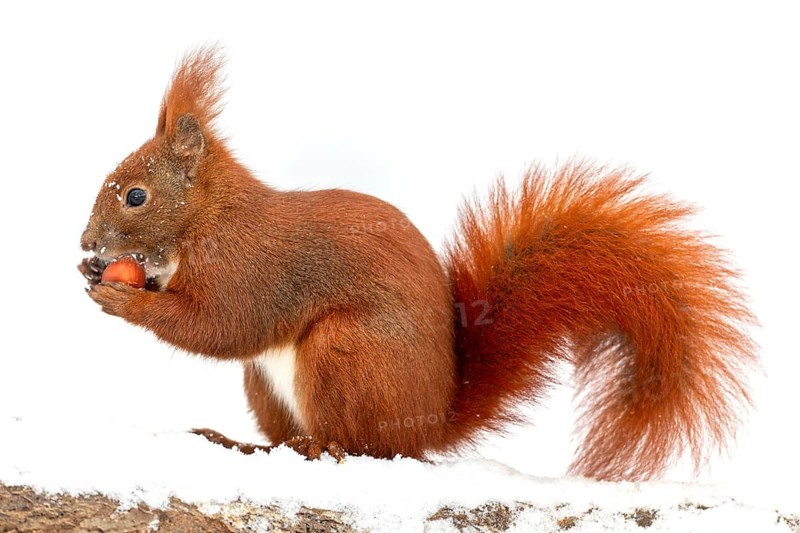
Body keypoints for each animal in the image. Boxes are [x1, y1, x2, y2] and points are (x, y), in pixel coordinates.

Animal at [79, 47, 756, 481]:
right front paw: (94, 276)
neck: (206, 222)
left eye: (135, 195)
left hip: (344, 354)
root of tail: (429, 425)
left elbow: (221, 325)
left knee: (362, 447)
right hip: (266, 385)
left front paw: (123, 298)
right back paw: (245, 444)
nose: (86, 243)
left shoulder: (252, 269)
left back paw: (314, 449)